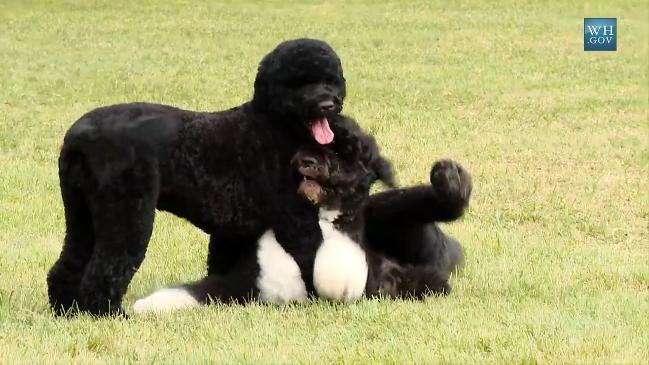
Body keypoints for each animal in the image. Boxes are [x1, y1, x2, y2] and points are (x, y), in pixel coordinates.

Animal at [48, 38, 390, 314]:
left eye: (330, 79)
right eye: (298, 83)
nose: (328, 103)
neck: (274, 126)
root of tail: (77, 136)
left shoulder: (234, 232)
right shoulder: (296, 220)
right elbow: (311, 258)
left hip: (82, 214)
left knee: (68, 266)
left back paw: (67, 311)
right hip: (127, 214)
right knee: (104, 269)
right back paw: (108, 315)